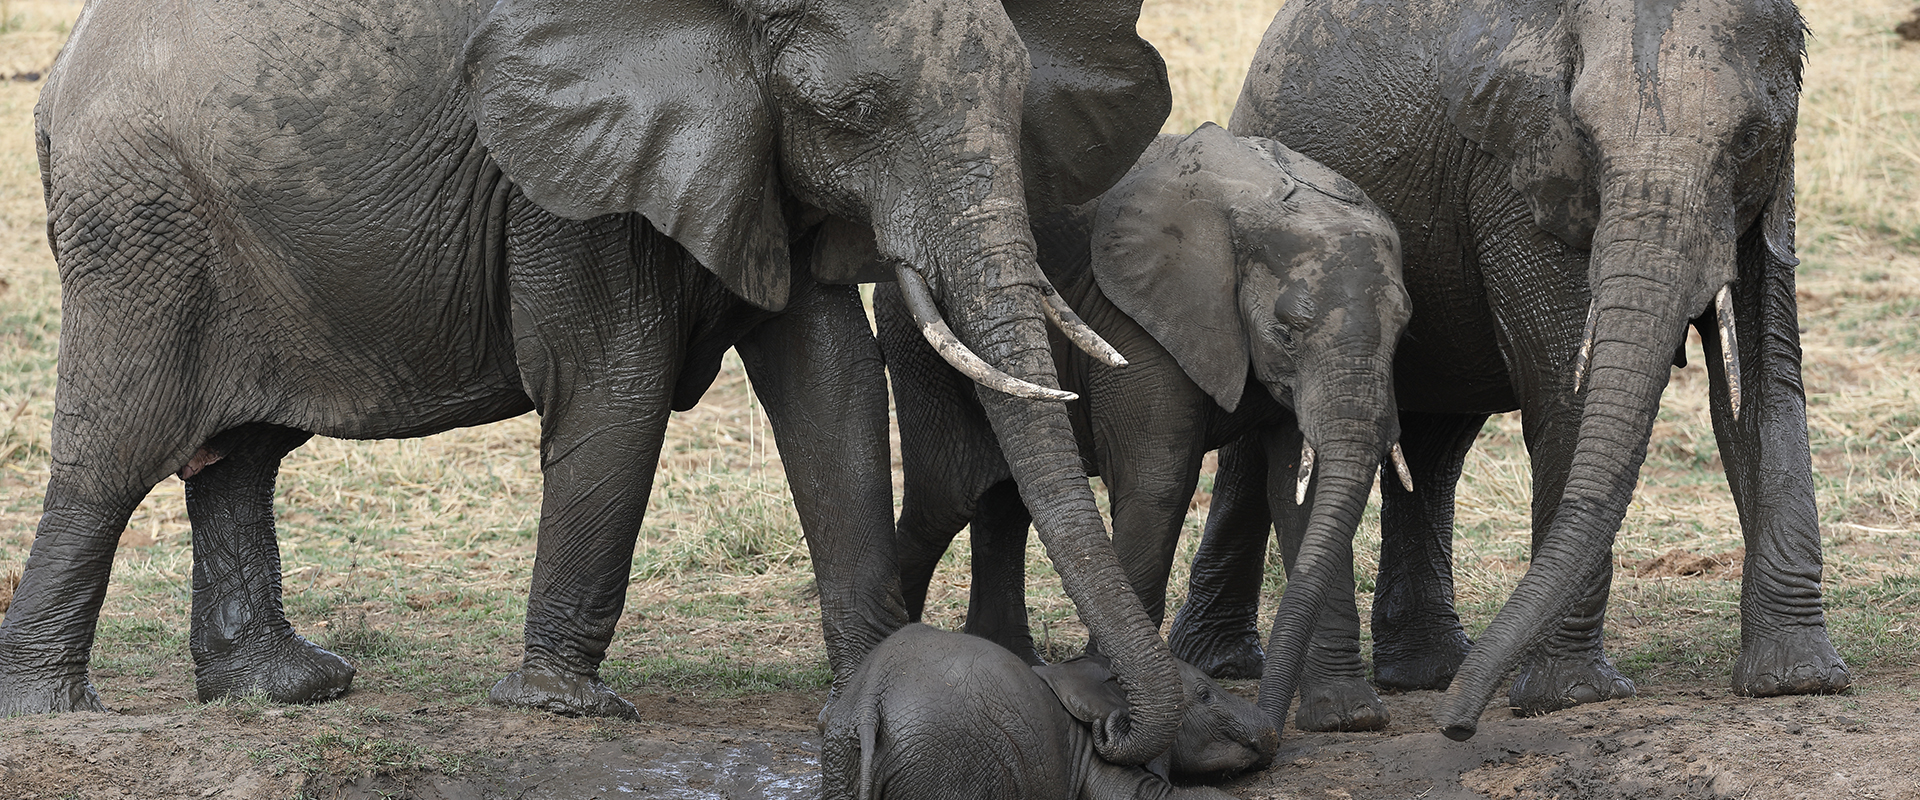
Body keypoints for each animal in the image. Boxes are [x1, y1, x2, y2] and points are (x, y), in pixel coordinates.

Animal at [0, 0, 1192, 760]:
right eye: (853, 113)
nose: (1110, 724)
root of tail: (59, 80)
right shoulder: (571, 173)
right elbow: (615, 384)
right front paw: (560, 706)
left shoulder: (749, 154)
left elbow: (832, 381)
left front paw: (869, 681)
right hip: (144, 221)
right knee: (116, 451)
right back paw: (54, 709)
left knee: (241, 450)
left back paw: (287, 688)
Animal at [820, 623, 1276, 800]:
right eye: (1204, 695)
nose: (1269, 734)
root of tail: (870, 698)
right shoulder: (1091, 753)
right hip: (940, 763)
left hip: (842, 754)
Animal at [877, 124, 1411, 732]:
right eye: (1286, 333)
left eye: (1403, 329)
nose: (1264, 724)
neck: (1262, 202)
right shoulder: (1136, 324)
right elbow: (1158, 483)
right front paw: (1108, 699)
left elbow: (1304, 494)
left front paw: (1348, 717)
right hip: (920, 350)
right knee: (945, 500)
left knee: (1004, 500)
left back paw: (1012, 662)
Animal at [1168, 0, 1851, 738]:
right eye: (1584, 137)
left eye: (1750, 138)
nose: (1457, 727)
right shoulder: (1516, 174)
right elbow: (1565, 391)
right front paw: (1569, 697)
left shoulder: (1767, 193)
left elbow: (1766, 379)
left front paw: (1798, 681)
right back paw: (1222, 663)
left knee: (1436, 445)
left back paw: (1428, 672)